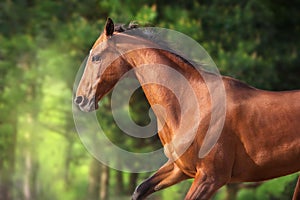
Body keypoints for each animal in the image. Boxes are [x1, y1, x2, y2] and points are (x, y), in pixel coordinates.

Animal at [74, 18, 300, 199]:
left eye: (95, 57)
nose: (80, 99)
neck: (190, 104)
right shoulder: (179, 168)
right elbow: (140, 189)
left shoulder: (210, 177)